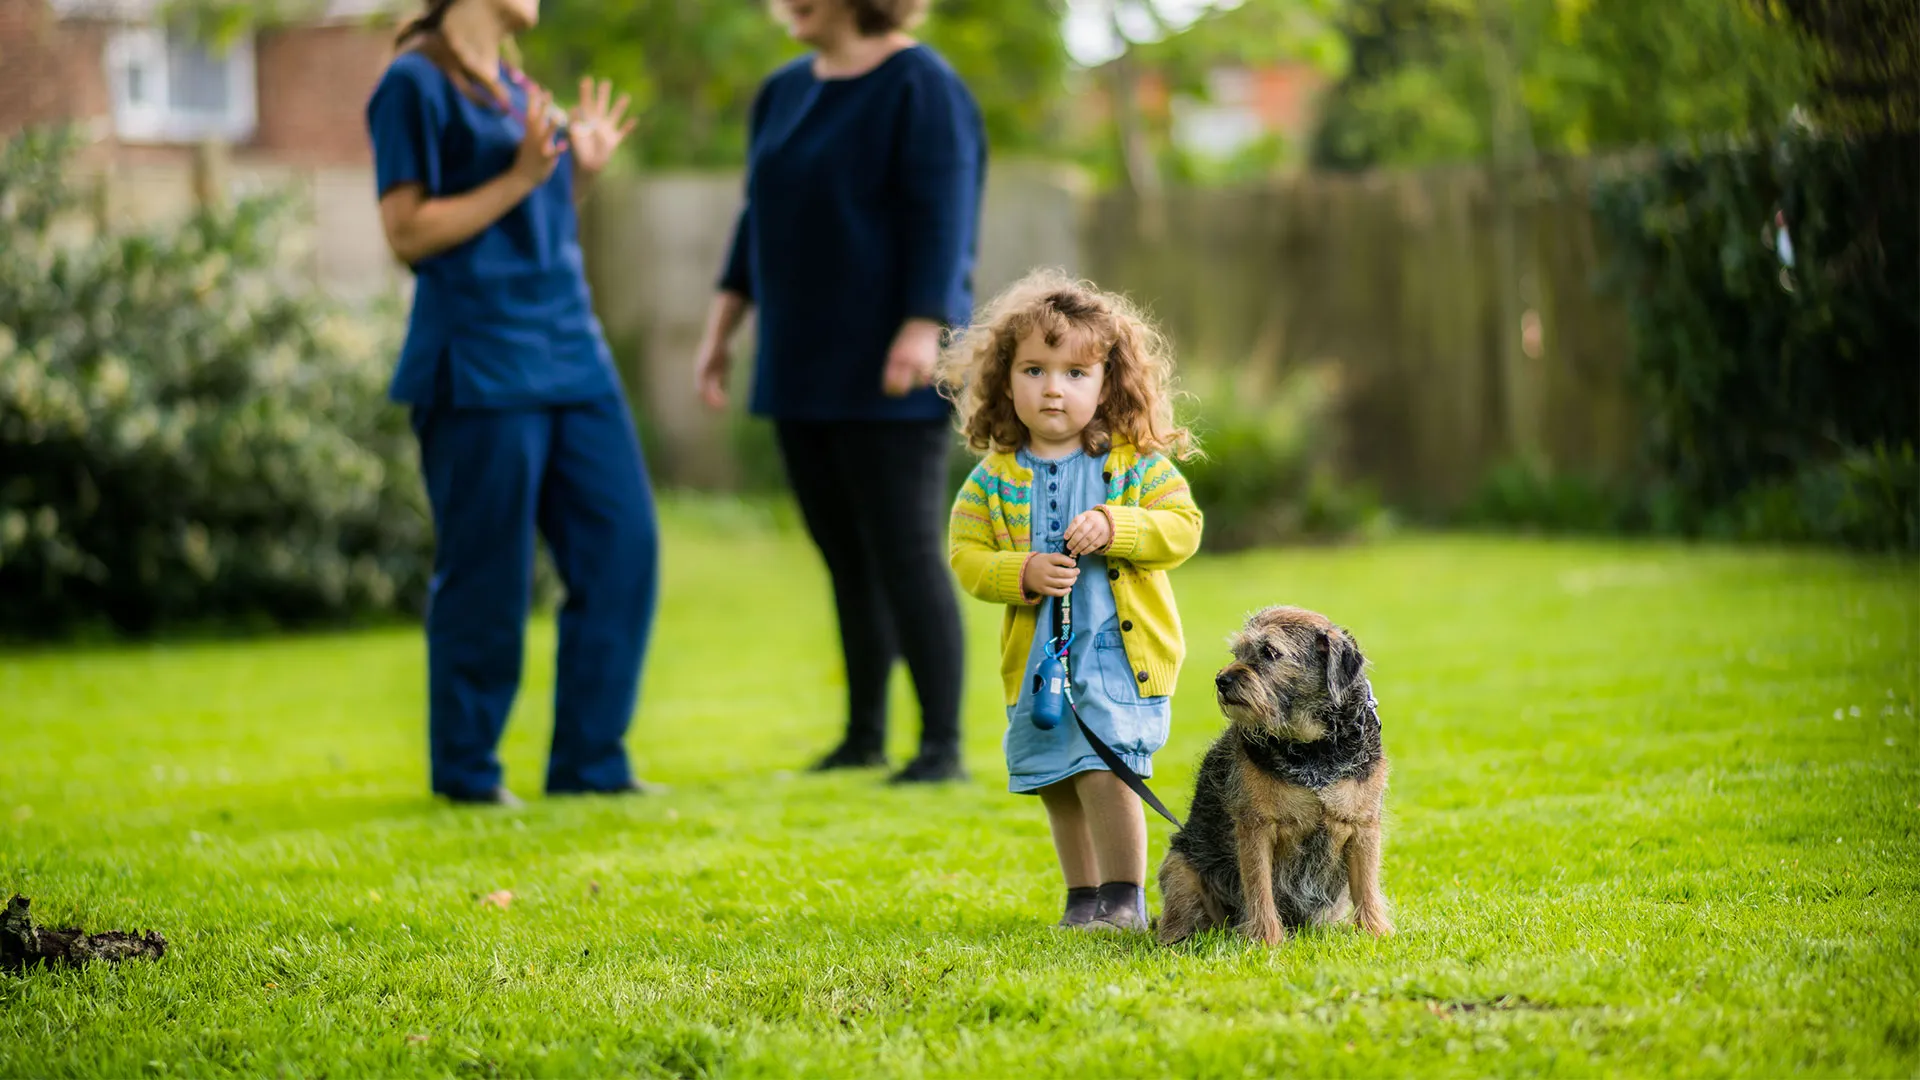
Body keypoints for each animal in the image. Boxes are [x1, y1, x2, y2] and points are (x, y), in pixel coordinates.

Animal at [1152, 607, 1397, 941]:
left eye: (1270, 652)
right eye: (1238, 652)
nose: (1221, 680)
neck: (1314, 748)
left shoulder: (1363, 826)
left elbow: (1368, 888)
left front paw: (1375, 933)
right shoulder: (1255, 827)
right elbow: (1260, 888)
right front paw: (1266, 939)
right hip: (1179, 867)